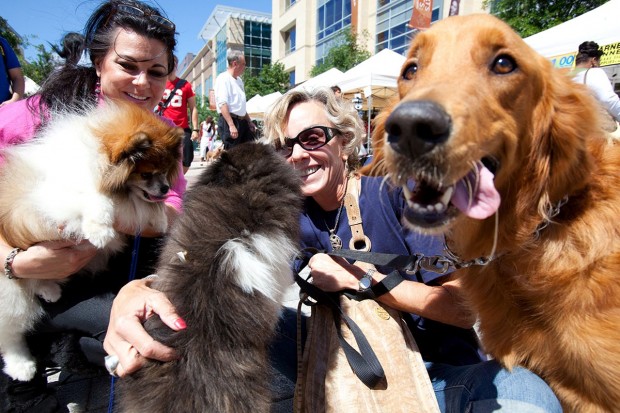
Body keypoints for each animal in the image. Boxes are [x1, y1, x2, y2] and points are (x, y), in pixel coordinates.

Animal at [0, 100, 182, 380]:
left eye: (164, 173)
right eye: (146, 174)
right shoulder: (48, 195)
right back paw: (22, 365)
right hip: (10, 291)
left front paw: (159, 218)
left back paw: (49, 290)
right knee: (9, 333)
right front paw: (100, 230)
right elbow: (94, 198)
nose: (164, 189)